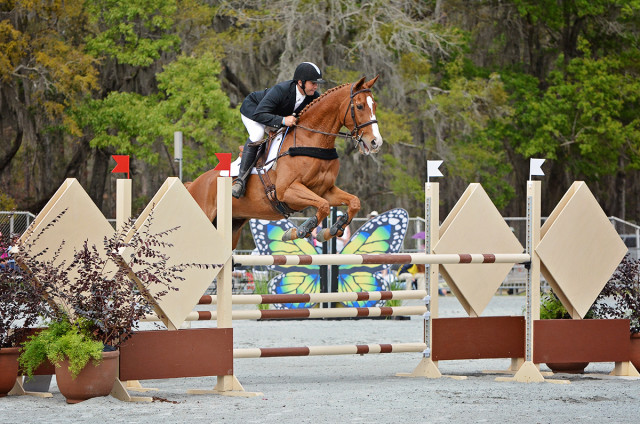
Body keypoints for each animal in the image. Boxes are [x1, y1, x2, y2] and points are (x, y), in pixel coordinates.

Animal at [188, 76, 382, 248]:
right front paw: (300, 231)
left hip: (233, 226)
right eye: (359, 106)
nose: (376, 142)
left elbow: (353, 202)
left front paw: (331, 230)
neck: (310, 139)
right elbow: (324, 206)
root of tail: (193, 184)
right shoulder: (287, 190)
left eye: (374, 105)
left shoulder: (324, 190)